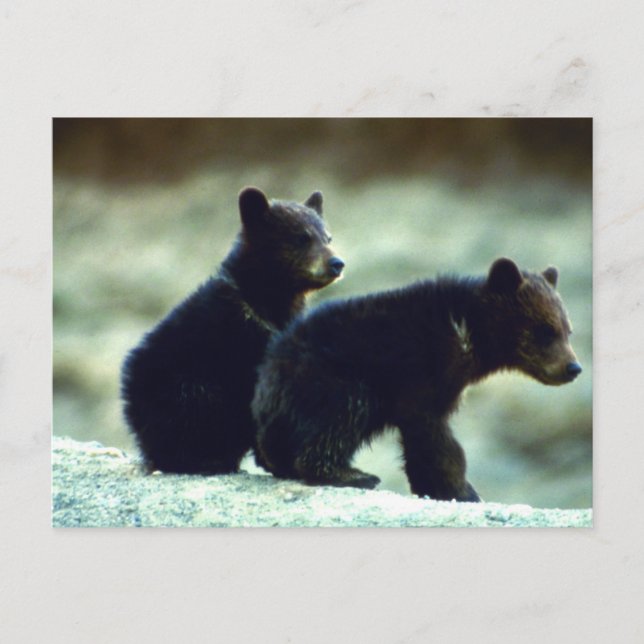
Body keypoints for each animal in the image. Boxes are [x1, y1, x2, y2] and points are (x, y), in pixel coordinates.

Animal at [121, 187, 344, 474]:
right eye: (301, 238)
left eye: (328, 236)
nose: (337, 263)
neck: (266, 302)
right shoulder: (240, 340)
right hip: (181, 387)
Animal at [252, 258, 582, 502]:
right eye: (545, 331)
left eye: (568, 329)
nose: (573, 367)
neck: (468, 332)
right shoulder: (422, 370)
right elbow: (433, 433)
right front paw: (459, 489)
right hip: (331, 377)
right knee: (340, 415)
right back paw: (354, 474)